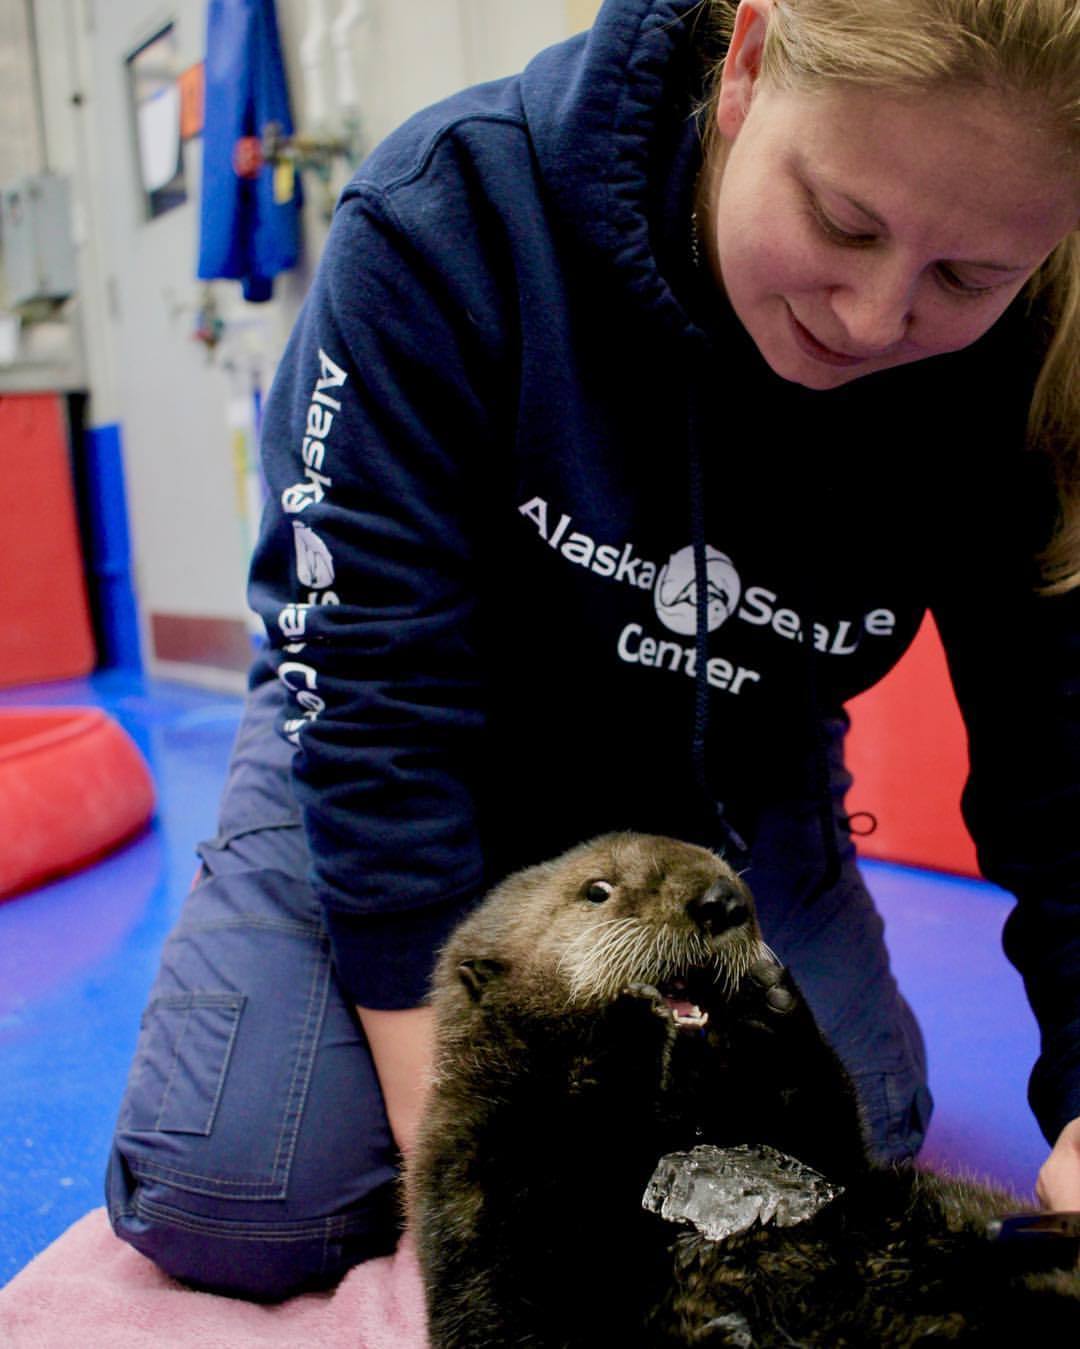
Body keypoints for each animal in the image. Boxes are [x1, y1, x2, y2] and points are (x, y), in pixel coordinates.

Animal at [407, 830, 1078, 1349]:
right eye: (597, 891)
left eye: (723, 864)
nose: (722, 899)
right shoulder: (476, 1173)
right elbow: (521, 1290)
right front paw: (627, 1024)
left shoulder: (815, 1156)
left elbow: (828, 1137)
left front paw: (770, 1003)